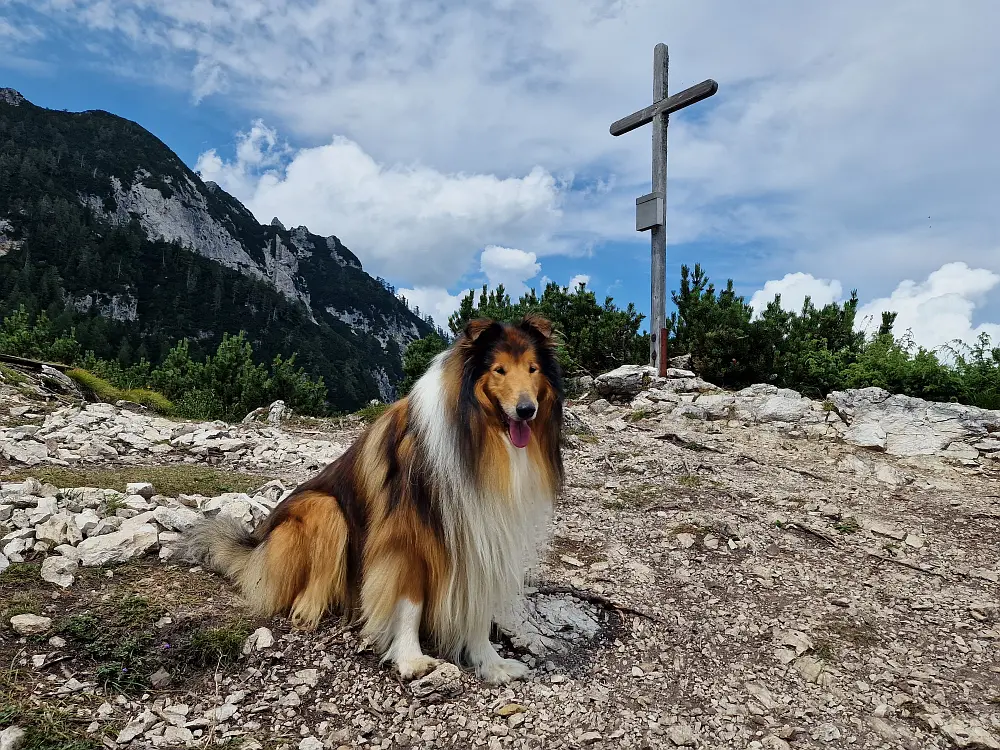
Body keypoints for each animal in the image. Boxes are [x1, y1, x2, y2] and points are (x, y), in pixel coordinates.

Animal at [186, 314, 564, 684]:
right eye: (499, 370)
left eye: (532, 368)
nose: (526, 410)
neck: (478, 438)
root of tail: (257, 544)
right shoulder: (405, 536)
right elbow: (409, 601)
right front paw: (411, 658)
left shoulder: (483, 531)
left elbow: (478, 608)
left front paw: (492, 662)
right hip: (327, 511)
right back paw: (312, 613)